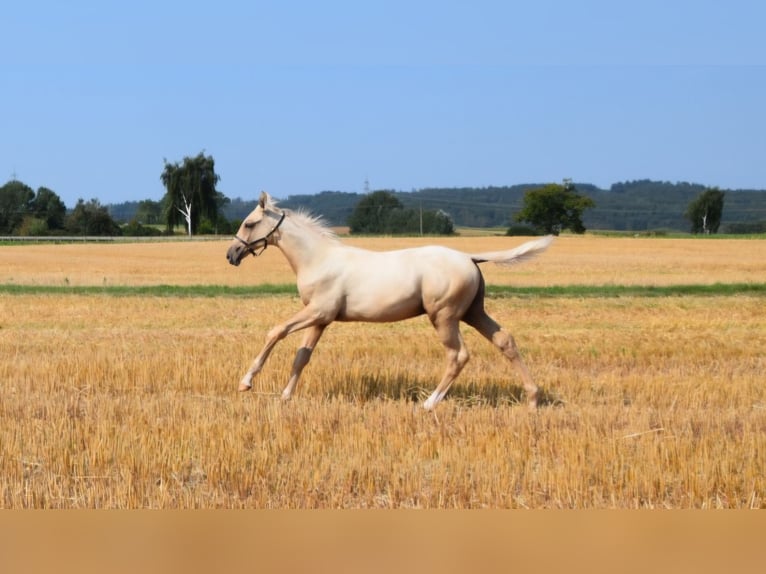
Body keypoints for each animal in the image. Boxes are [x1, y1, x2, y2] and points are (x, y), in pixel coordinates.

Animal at [225, 192, 556, 410]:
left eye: (250, 223)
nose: (231, 254)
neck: (318, 259)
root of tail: (470, 257)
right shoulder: (321, 319)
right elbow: (302, 356)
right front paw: (285, 396)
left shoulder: (316, 311)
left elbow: (276, 331)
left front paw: (246, 382)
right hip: (473, 313)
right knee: (505, 341)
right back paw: (533, 399)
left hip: (444, 317)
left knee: (458, 355)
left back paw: (429, 403)